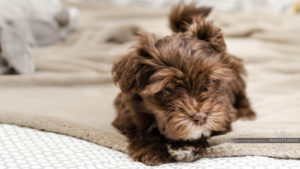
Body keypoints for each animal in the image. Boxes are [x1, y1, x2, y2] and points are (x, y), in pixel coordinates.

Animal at [111, 3, 254, 166]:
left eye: (208, 80)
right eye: (167, 89)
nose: (200, 117)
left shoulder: (223, 114)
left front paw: (188, 147)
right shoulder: (126, 115)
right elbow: (140, 129)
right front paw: (152, 150)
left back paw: (246, 112)